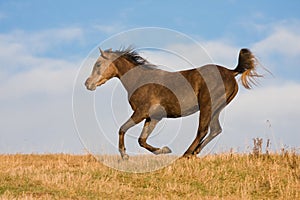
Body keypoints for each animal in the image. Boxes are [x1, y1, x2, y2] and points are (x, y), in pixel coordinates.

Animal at [84, 47, 260, 159]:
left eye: (98, 64)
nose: (87, 84)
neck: (140, 80)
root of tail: (231, 72)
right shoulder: (153, 117)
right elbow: (142, 140)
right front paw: (164, 150)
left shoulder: (140, 112)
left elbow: (122, 129)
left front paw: (124, 155)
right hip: (216, 108)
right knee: (215, 130)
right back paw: (194, 153)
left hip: (207, 105)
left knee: (202, 130)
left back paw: (186, 154)